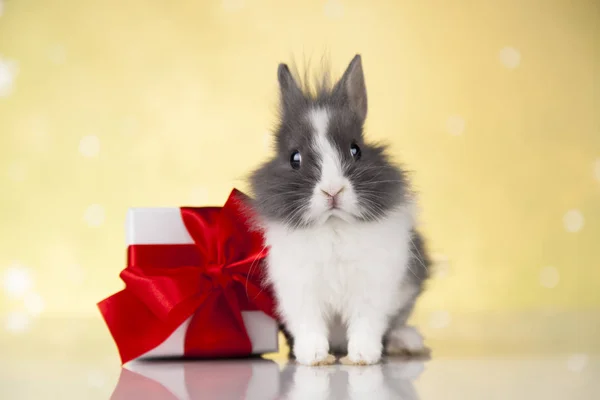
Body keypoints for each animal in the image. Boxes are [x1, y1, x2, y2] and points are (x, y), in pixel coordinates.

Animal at [248, 54, 432, 368]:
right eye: (294, 158)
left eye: (356, 149)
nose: (332, 191)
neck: (333, 224)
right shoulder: (299, 289)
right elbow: (309, 325)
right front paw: (314, 357)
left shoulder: (373, 286)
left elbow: (366, 323)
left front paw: (362, 357)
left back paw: (407, 343)